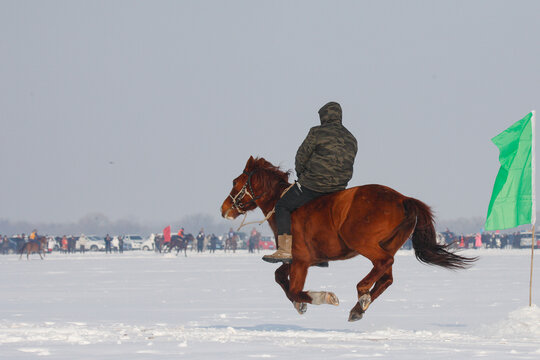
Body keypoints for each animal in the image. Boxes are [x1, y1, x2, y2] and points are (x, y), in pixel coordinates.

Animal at [221, 156, 474, 322]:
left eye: (235, 181)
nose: (224, 209)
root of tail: (403, 199)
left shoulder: (301, 260)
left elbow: (293, 288)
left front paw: (322, 297)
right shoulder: (301, 259)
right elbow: (279, 277)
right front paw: (300, 304)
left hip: (365, 244)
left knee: (384, 263)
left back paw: (361, 292)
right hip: (388, 244)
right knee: (386, 277)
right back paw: (359, 306)